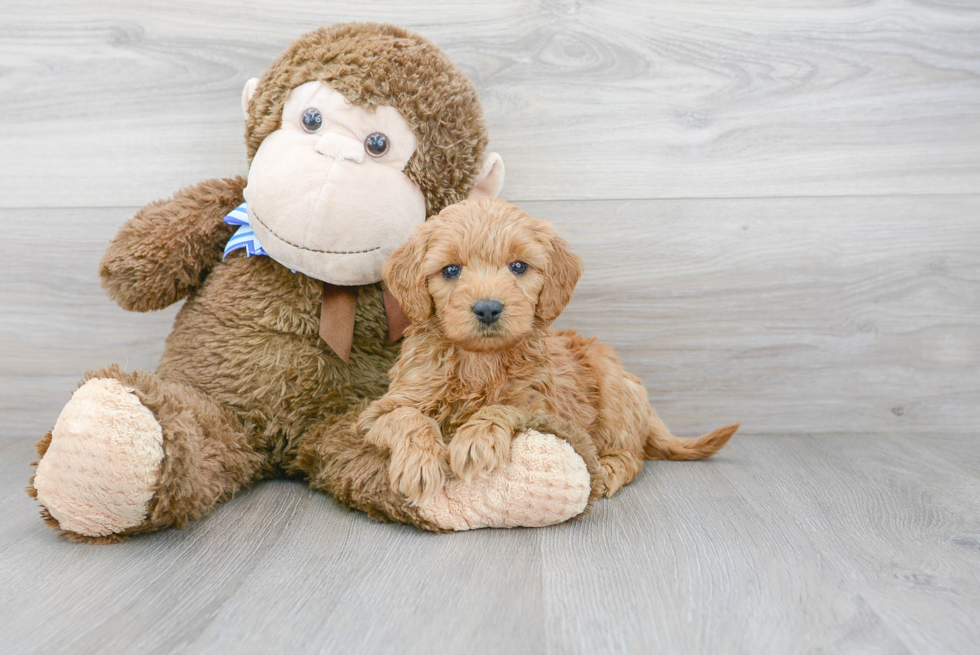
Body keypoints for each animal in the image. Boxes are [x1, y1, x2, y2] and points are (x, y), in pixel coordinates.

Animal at [356, 200, 740, 508]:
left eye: (518, 266)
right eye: (450, 270)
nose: (488, 308)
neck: (480, 360)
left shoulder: (542, 406)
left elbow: (504, 406)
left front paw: (477, 438)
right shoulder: (378, 411)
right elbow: (407, 417)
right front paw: (420, 465)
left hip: (613, 388)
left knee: (632, 456)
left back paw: (608, 470)